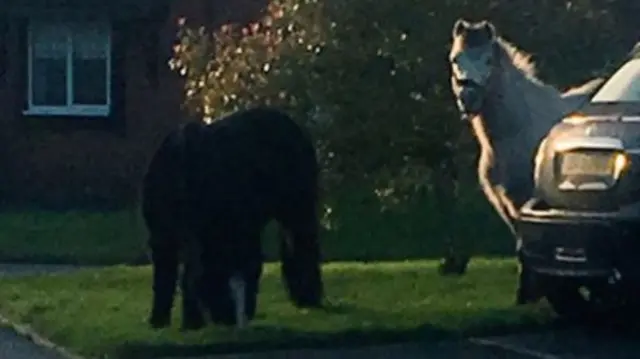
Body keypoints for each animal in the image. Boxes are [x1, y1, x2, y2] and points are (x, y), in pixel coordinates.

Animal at [448, 17, 604, 304]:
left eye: (488, 60)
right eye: (456, 59)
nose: (468, 98)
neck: (517, 131)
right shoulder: (505, 203)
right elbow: (522, 246)